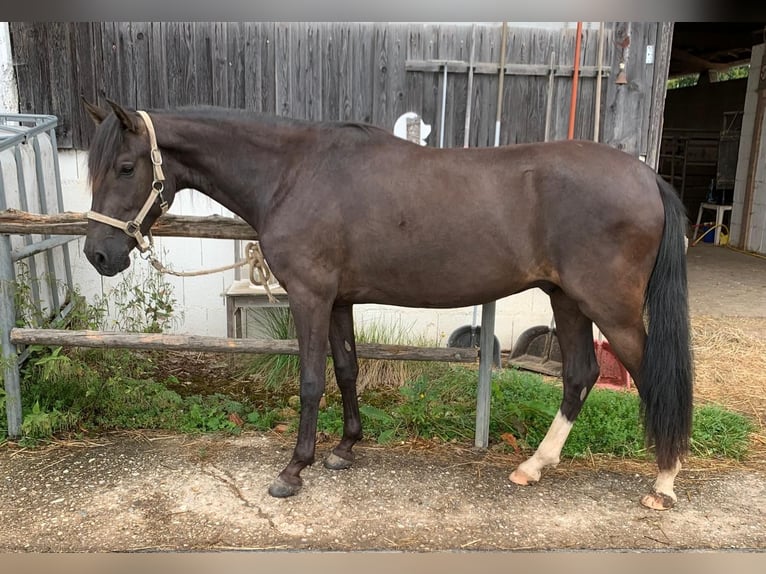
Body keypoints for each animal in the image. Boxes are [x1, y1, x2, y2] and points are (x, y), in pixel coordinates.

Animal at [81, 101, 692, 510]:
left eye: (127, 167)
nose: (98, 254)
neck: (293, 172)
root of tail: (647, 176)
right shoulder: (338, 301)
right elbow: (348, 367)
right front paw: (345, 449)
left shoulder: (309, 297)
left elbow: (310, 379)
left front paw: (294, 470)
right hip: (567, 298)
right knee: (581, 374)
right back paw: (534, 467)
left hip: (609, 307)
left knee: (650, 376)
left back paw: (664, 481)